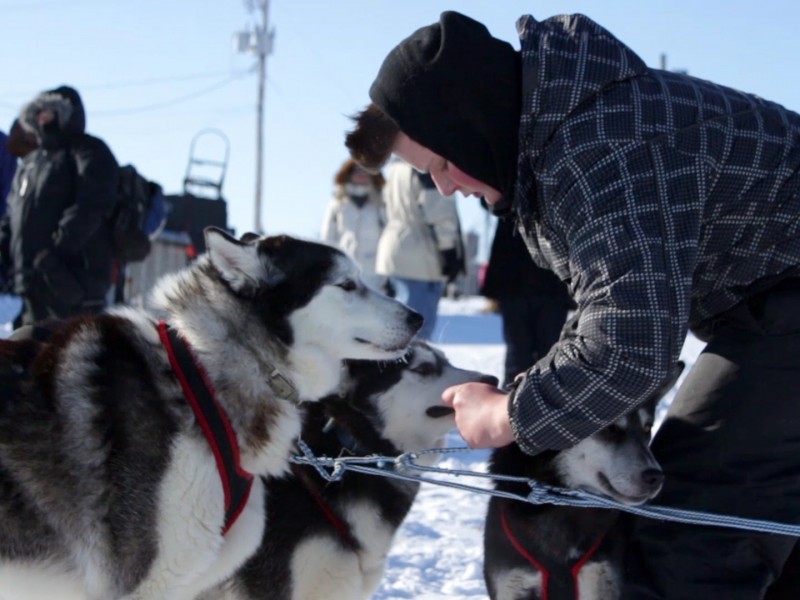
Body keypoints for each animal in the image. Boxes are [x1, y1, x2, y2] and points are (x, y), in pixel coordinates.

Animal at [482, 366, 680, 600]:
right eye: (610, 428)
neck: (562, 505)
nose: (655, 477)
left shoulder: (599, 579)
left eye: (647, 428)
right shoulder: (514, 584)